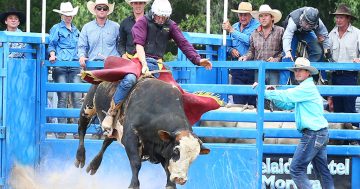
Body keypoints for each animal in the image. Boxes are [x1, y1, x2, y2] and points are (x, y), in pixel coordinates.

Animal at [74, 77, 210, 188]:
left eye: (194, 157)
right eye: (176, 150)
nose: (180, 179)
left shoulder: (161, 148)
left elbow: (168, 171)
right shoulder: (130, 137)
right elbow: (136, 163)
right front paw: (133, 185)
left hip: (116, 130)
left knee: (107, 141)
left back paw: (93, 165)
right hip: (88, 106)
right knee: (82, 128)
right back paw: (80, 157)